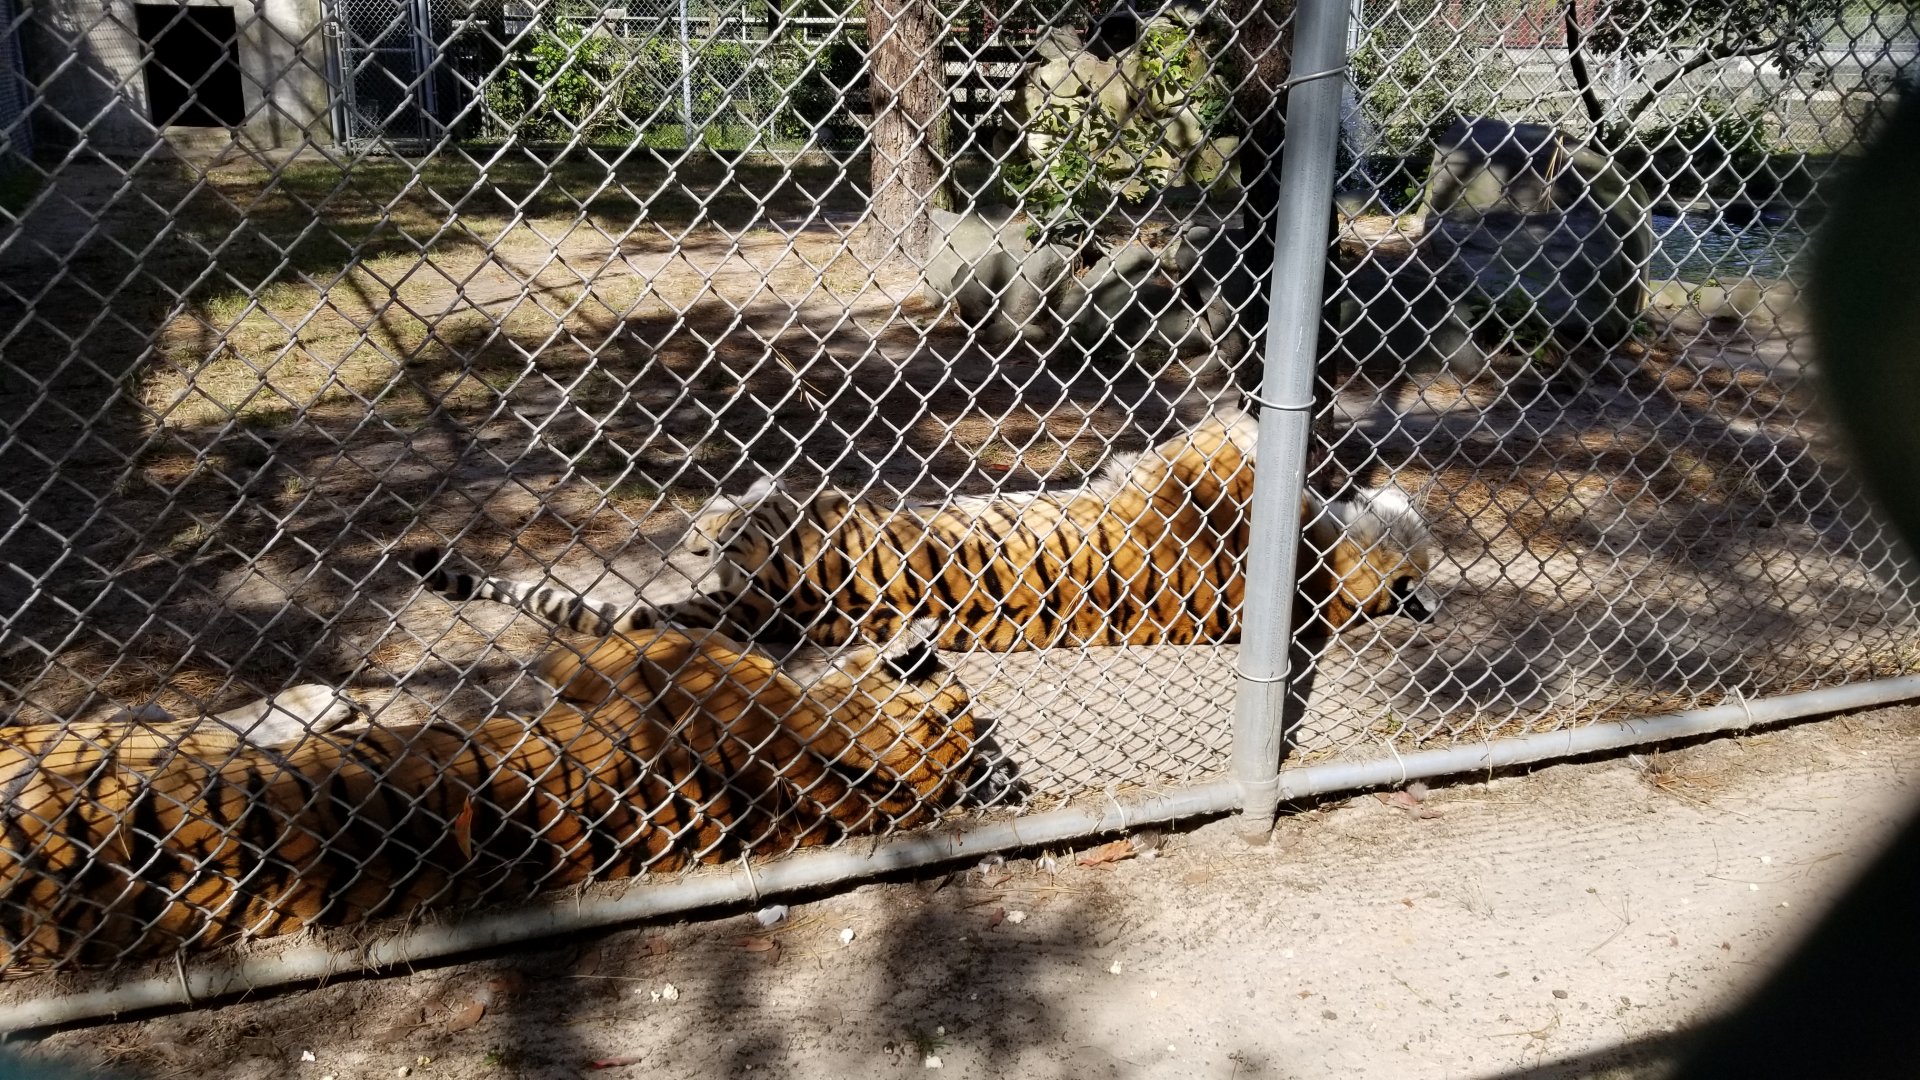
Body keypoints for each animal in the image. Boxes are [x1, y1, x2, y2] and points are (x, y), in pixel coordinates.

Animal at [0, 629, 1006, 969]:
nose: (925, 655)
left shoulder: (654, 665)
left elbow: (612, 639)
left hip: (96, 742)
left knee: (179, 715)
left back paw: (322, 698)